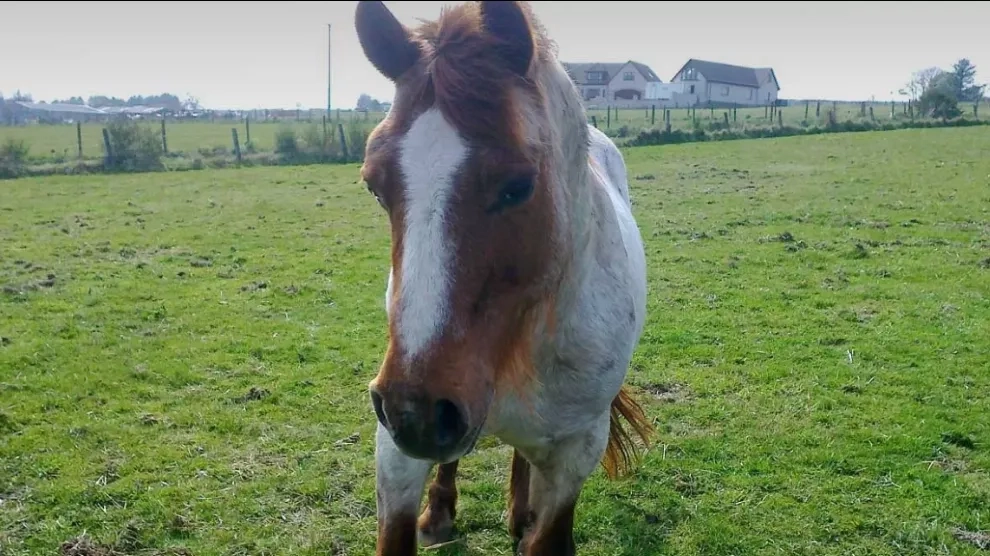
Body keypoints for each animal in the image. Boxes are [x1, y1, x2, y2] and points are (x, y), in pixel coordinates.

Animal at [353, 1, 654, 553]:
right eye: (375, 187)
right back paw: (441, 513)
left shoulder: (576, 453)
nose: (417, 412)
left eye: (518, 186)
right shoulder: (394, 449)